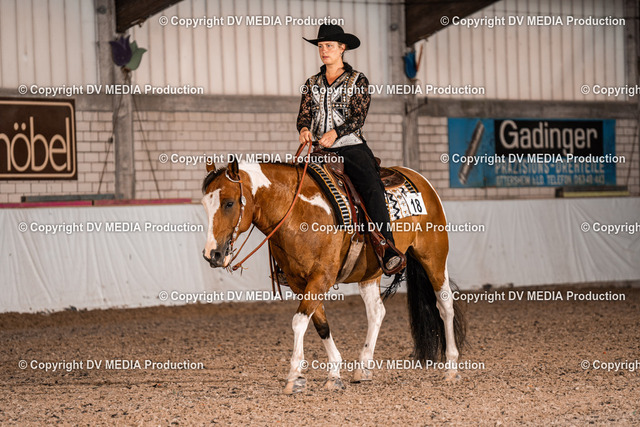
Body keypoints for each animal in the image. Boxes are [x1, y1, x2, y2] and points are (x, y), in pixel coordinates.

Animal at [200, 156, 466, 394]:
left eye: (229, 203)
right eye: (205, 205)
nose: (212, 254)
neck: (299, 211)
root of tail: (418, 178)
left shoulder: (321, 278)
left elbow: (299, 322)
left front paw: (294, 377)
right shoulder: (300, 283)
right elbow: (320, 325)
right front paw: (334, 375)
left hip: (433, 256)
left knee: (444, 305)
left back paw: (451, 368)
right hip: (371, 271)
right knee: (376, 312)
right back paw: (363, 368)